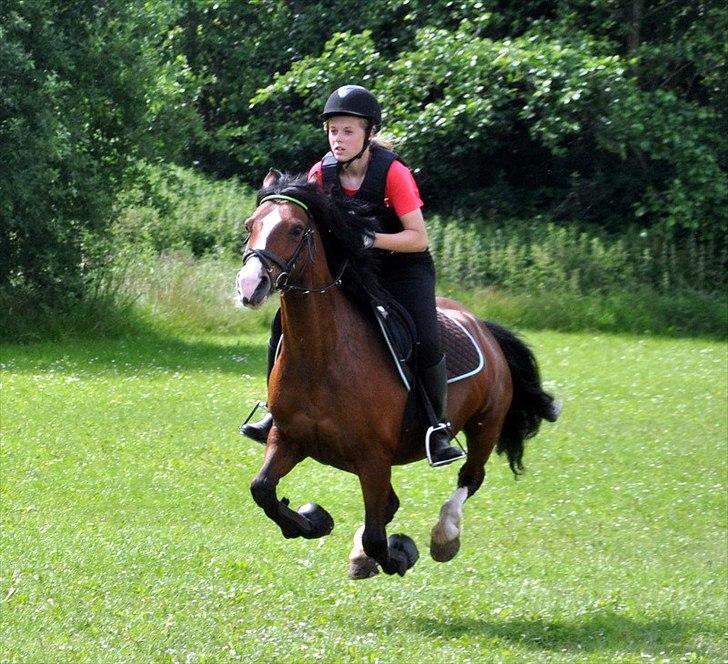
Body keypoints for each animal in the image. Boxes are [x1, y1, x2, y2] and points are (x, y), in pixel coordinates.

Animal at [233, 170, 556, 576]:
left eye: (295, 229)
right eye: (250, 225)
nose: (249, 285)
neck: (322, 358)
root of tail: (482, 325)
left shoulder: (373, 458)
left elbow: (376, 533)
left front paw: (398, 554)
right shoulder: (288, 438)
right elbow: (261, 489)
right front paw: (311, 520)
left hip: (486, 423)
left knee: (469, 478)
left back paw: (444, 536)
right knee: (391, 503)